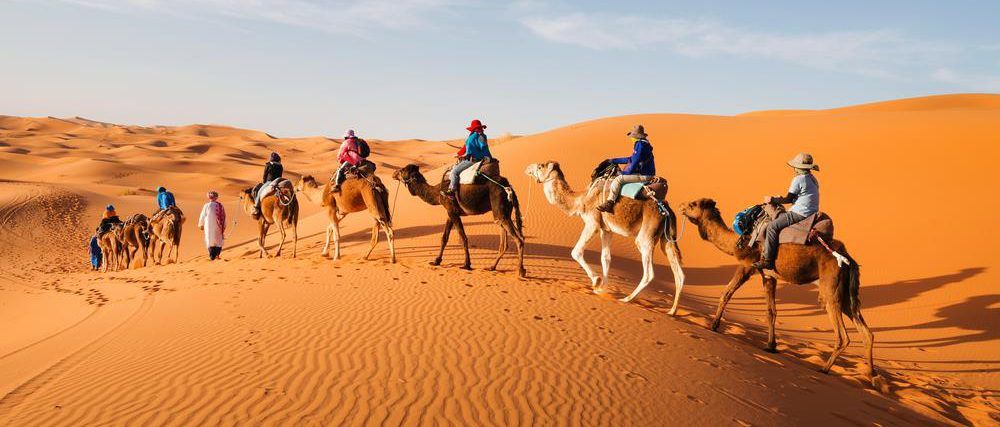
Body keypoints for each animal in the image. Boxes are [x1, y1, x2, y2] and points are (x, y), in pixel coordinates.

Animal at [392, 164, 528, 278]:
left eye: (402, 170)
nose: (393, 173)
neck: (437, 192)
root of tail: (509, 187)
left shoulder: (452, 211)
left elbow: (463, 237)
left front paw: (466, 264)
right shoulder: (450, 212)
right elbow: (444, 237)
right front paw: (436, 261)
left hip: (500, 209)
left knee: (519, 239)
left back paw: (521, 271)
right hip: (503, 213)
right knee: (507, 241)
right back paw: (492, 267)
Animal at [528, 160, 684, 314]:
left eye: (541, 166)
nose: (528, 168)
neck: (582, 199)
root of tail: (666, 210)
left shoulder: (593, 223)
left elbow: (576, 252)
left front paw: (596, 281)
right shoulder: (606, 230)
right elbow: (606, 258)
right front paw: (602, 289)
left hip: (646, 235)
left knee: (648, 272)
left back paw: (626, 299)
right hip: (666, 238)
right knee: (679, 274)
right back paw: (672, 311)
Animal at [676, 198, 880, 388]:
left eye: (693, 204)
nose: (680, 206)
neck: (737, 241)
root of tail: (848, 259)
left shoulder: (747, 265)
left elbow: (726, 293)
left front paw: (714, 325)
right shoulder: (768, 275)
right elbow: (771, 312)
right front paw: (771, 346)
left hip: (830, 288)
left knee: (843, 335)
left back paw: (825, 368)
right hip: (845, 293)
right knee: (866, 333)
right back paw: (872, 378)